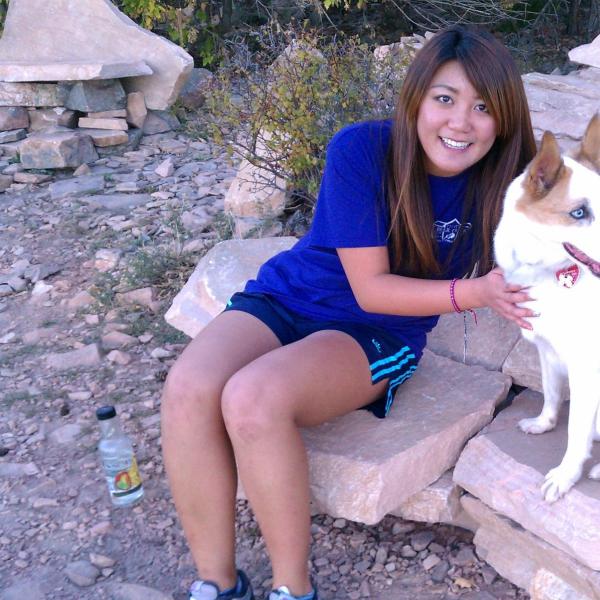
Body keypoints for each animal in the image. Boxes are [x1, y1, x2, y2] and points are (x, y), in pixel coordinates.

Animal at [492, 112, 600, 502]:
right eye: (579, 212)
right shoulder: (546, 350)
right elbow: (551, 393)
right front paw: (544, 423)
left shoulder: (587, 370)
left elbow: (576, 431)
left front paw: (566, 475)